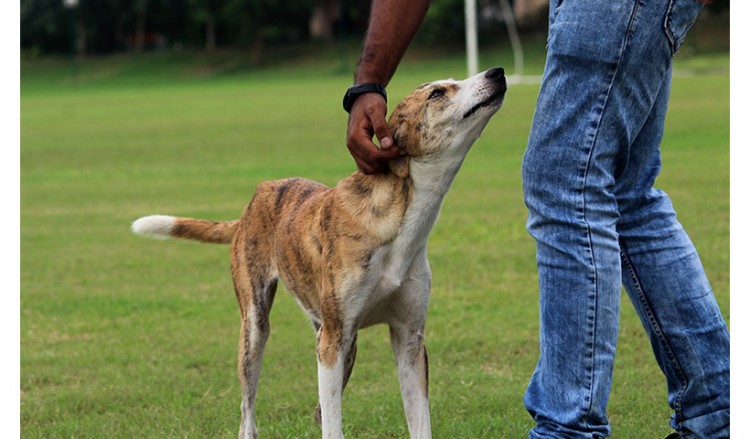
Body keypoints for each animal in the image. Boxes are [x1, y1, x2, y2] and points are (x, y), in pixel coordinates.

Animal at [134, 67, 512, 438]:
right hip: (258, 328)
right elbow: (332, 425)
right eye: (436, 93)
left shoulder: (409, 340)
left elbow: (418, 422)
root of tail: (253, 201)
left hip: (342, 341)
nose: (497, 72)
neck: (400, 220)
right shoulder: (332, 341)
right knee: (247, 412)